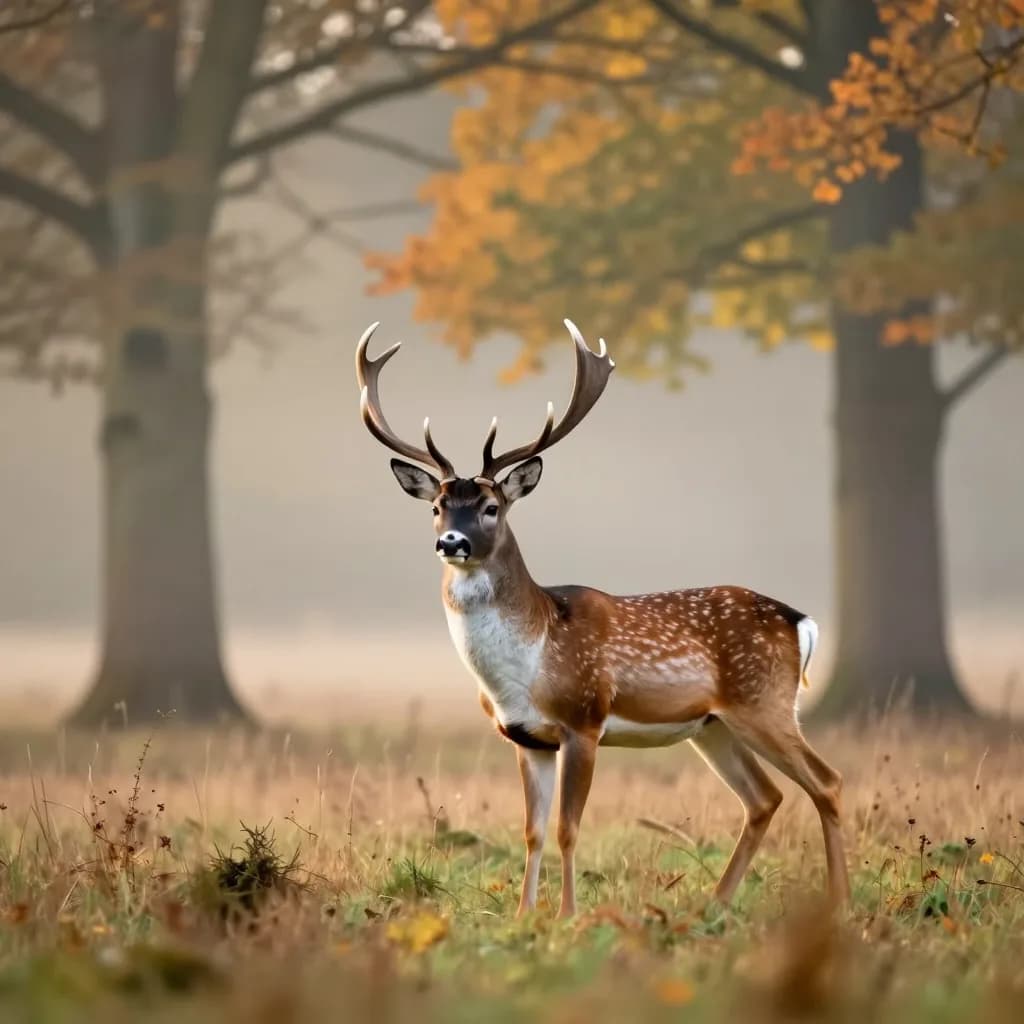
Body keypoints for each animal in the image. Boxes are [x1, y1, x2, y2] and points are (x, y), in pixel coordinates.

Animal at [355, 319, 849, 918]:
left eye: (492, 507)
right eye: (436, 506)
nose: (452, 541)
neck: (531, 658)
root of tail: (801, 621)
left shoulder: (583, 719)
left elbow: (568, 828)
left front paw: (567, 915)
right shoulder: (526, 738)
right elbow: (532, 831)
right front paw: (524, 915)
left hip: (765, 702)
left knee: (826, 782)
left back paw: (840, 902)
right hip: (714, 725)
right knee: (765, 798)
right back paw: (714, 904)